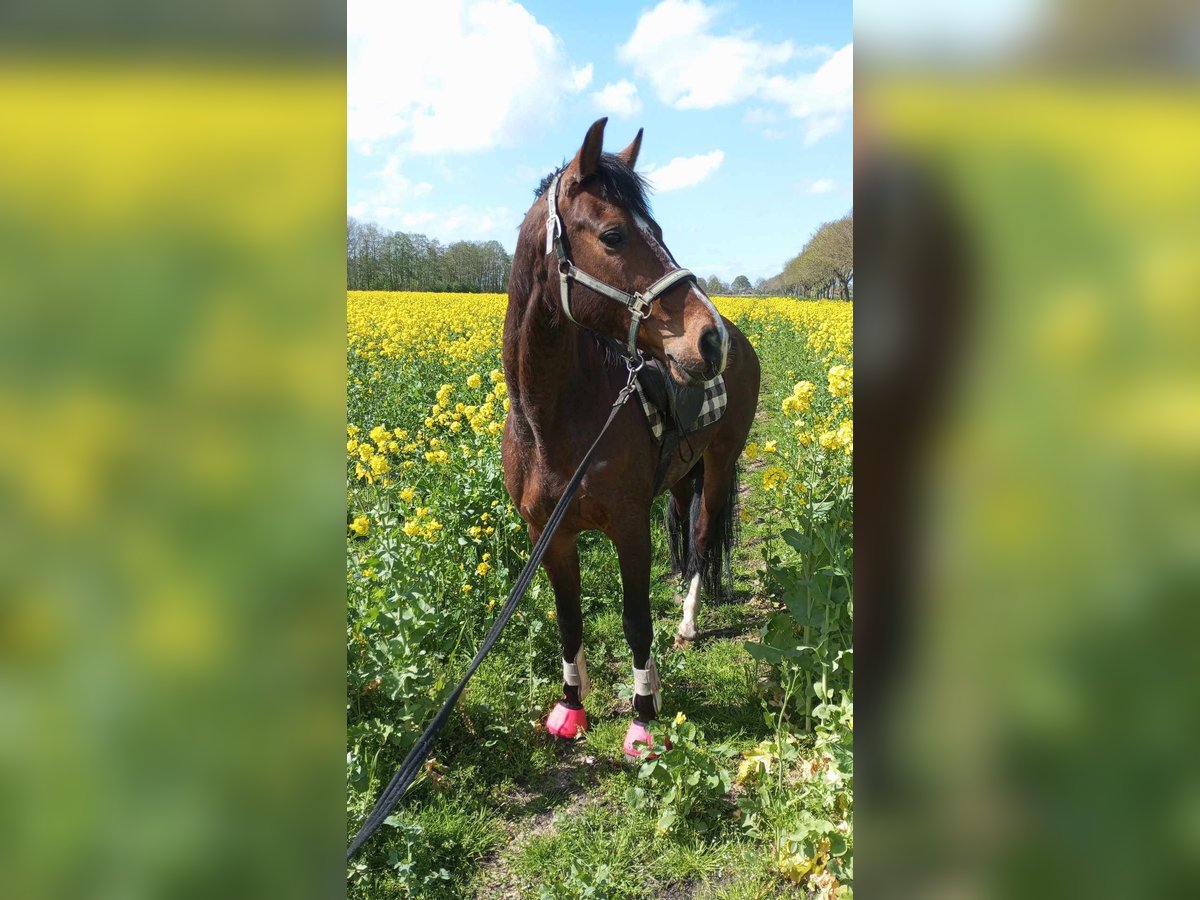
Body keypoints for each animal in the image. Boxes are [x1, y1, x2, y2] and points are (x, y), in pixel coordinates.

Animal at [501, 116, 753, 758]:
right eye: (614, 236)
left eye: (657, 230)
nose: (710, 340)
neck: (553, 421)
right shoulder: (549, 534)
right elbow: (569, 620)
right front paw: (571, 707)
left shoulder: (629, 527)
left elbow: (635, 618)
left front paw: (642, 717)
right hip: (682, 473)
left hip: (720, 466)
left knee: (702, 538)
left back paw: (687, 621)